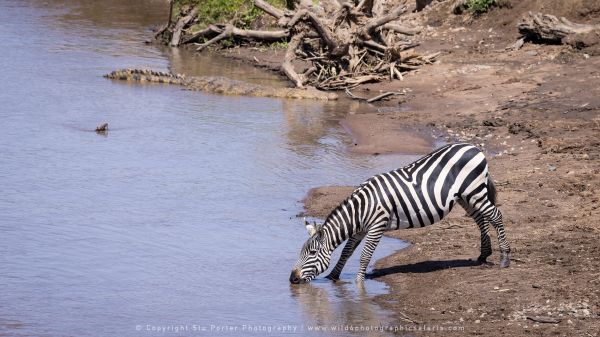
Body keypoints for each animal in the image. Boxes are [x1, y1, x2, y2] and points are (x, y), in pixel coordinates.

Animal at [290, 142, 510, 284]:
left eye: (312, 253)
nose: (292, 279)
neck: (361, 209)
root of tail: (473, 147)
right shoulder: (360, 229)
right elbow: (346, 251)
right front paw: (333, 276)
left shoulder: (377, 226)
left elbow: (364, 256)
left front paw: (359, 283)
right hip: (466, 197)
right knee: (481, 219)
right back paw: (483, 255)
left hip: (474, 191)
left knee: (496, 216)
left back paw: (505, 258)